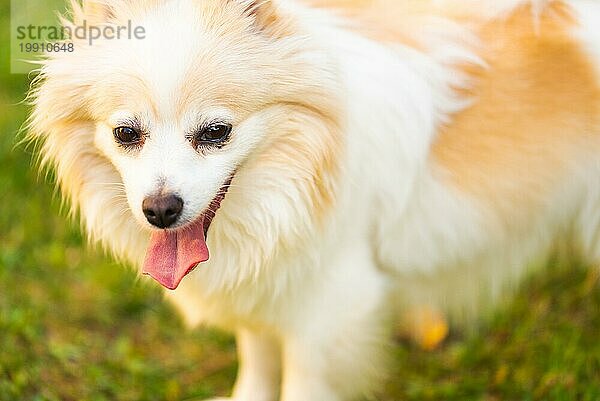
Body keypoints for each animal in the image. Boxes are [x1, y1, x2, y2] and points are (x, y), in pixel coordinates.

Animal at [28, 0, 600, 398]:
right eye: (126, 134)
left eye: (216, 132)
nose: (161, 209)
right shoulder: (264, 289)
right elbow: (257, 361)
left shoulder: (329, 312)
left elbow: (301, 384)